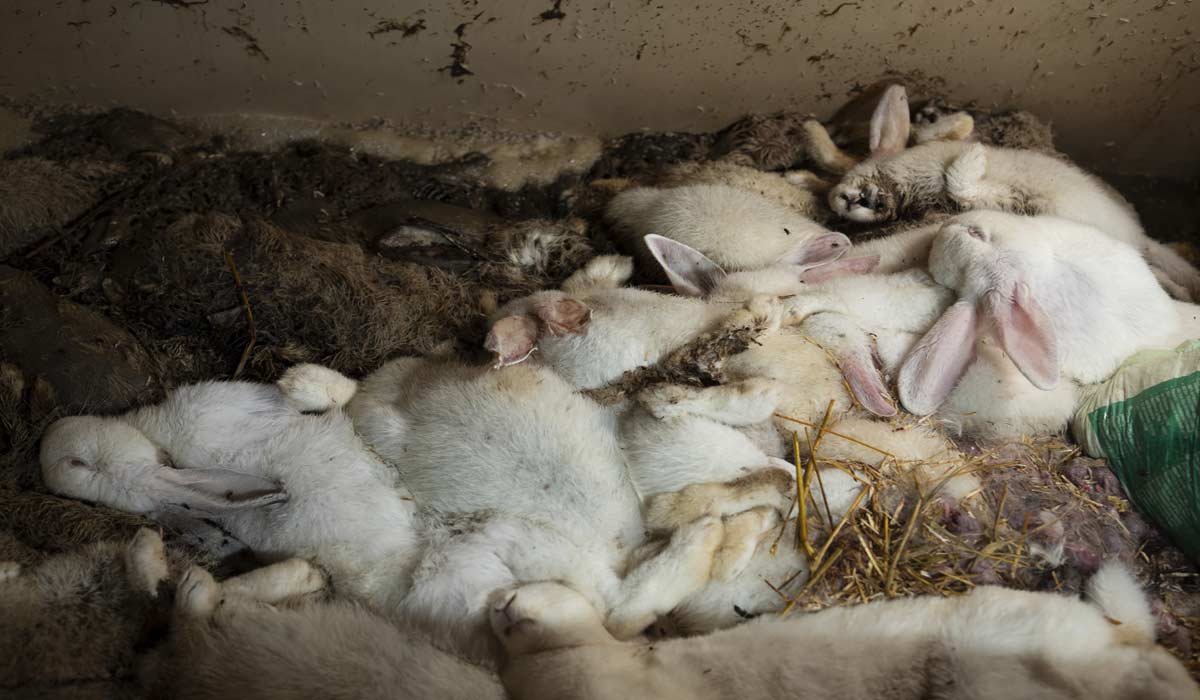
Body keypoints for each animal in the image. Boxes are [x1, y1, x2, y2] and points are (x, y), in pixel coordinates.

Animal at [830, 138, 1200, 300]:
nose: (846, 201)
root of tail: (1138, 235)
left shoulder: (993, 192)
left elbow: (963, 183)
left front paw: (974, 154)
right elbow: (966, 189)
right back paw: (1180, 290)